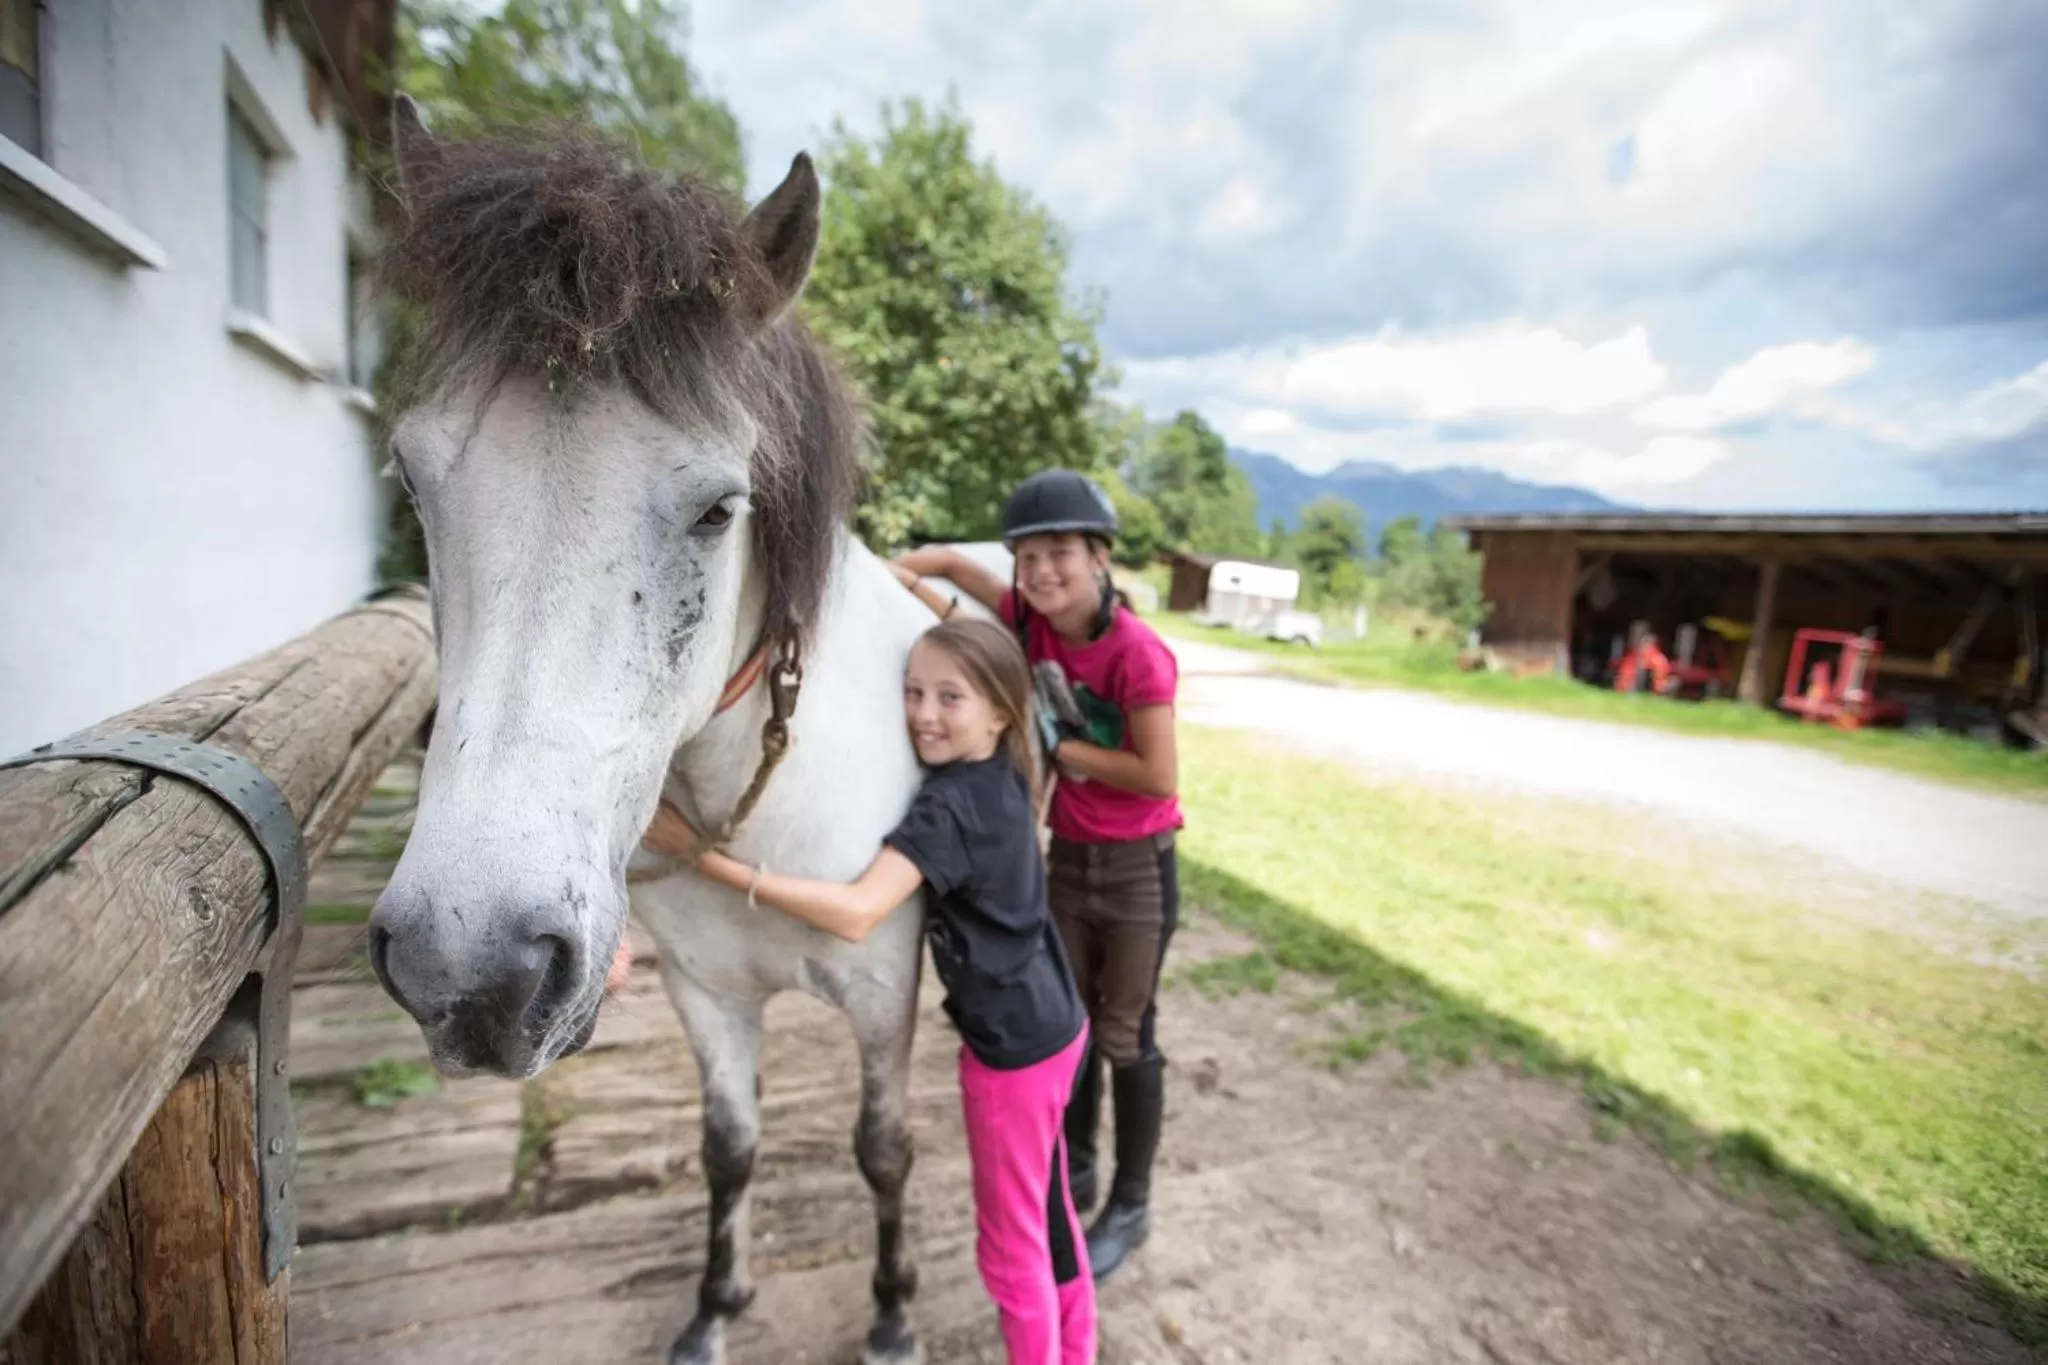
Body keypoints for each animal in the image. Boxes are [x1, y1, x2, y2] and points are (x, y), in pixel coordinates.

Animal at [366, 98, 935, 1365]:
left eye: (720, 509)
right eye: (414, 483)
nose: (465, 970)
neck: (766, 810)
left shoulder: (884, 999)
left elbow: (883, 1152)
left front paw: (891, 1313)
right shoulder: (706, 996)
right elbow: (729, 1150)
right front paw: (713, 1312)